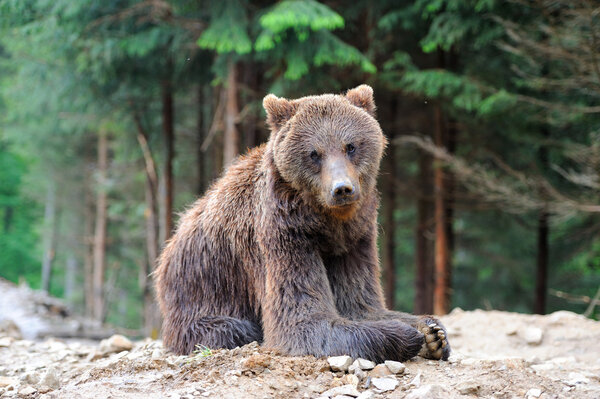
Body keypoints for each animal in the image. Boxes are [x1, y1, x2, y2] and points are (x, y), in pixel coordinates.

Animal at [155, 86, 450, 364]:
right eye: (314, 153)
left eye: (350, 146)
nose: (342, 189)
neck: (325, 223)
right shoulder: (284, 235)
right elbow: (304, 319)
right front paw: (406, 334)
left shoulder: (355, 239)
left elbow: (360, 302)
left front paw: (432, 333)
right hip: (201, 291)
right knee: (231, 328)